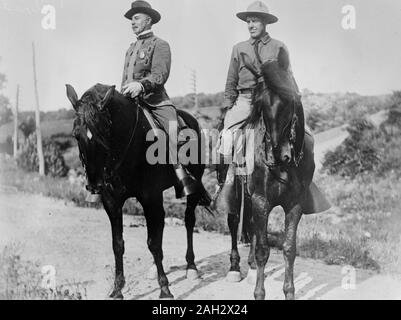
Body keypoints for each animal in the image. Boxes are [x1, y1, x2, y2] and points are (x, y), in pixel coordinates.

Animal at [65, 83, 209, 300]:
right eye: (75, 134)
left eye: (103, 133)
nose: (94, 185)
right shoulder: (112, 202)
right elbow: (118, 244)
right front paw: (117, 288)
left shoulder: (150, 198)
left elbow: (153, 243)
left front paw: (165, 289)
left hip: (192, 187)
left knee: (188, 221)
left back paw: (191, 267)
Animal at [214, 55, 330, 300]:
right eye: (261, 105)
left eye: (290, 100)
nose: (277, 154)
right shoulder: (261, 200)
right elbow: (262, 250)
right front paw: (259, 293)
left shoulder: (294, 204)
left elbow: (288, 249)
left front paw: (289, 292)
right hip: (237, 196)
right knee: (235, 223)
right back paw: (235, 268)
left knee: (251, 226)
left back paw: (249, 267)